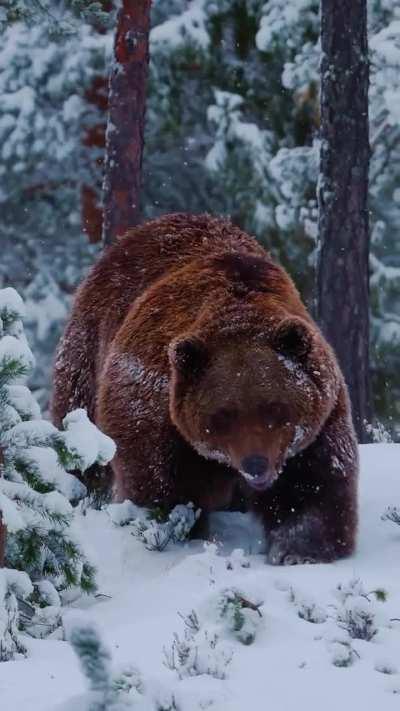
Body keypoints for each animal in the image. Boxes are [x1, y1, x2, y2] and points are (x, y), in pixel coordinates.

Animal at [52, 213, 358, 564]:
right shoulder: (155, 403)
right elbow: (160, 485)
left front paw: (300, 550)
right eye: (225, 413)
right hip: (89, 348)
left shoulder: (320, 417)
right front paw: (177, 532)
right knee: (81, 437)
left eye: (274, 407)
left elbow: (312, 486)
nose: (255, 463)